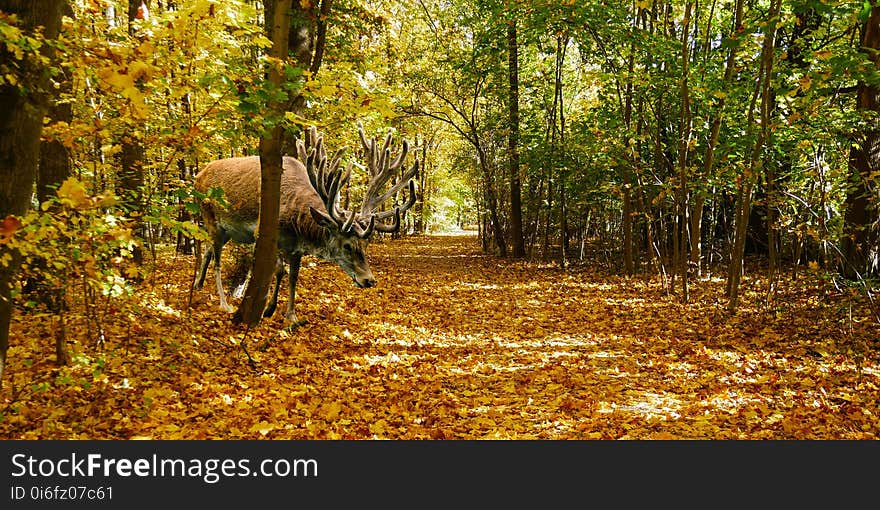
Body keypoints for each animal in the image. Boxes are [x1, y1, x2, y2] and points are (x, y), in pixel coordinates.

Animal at [195, 124, 420, 322]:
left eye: (365, 244)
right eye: (347, 245)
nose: (369, 279)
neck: (297, 224)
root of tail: (197, 176)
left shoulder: (296, 247)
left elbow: (294, 276)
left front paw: (291, 315)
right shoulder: (264, 232)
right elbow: (280, 270)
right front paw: (269, 309)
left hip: (226, 232)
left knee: (207, 249)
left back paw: (198, 285)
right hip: (209, 215)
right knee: (216, 259)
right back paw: (224, 303)